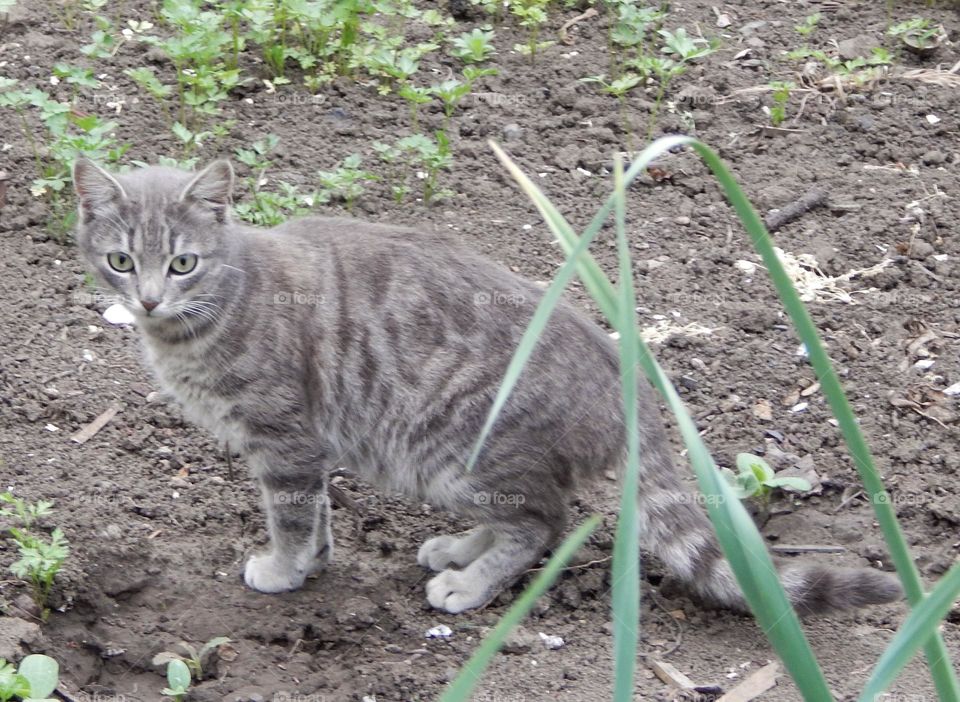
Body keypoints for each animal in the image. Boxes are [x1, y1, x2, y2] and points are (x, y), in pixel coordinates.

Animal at [71, 160, 904, 616]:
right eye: (121, 260)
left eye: (183, 263)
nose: (148, 299)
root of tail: (624, 380)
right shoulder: (308, 449)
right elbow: (318, 516)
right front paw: (312, 564)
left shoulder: (284, 441)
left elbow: (292, 517)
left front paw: (282, 569)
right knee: (523, 515)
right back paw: (457, 550)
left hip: (462, 448)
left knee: (544, 522)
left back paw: (469, 585)